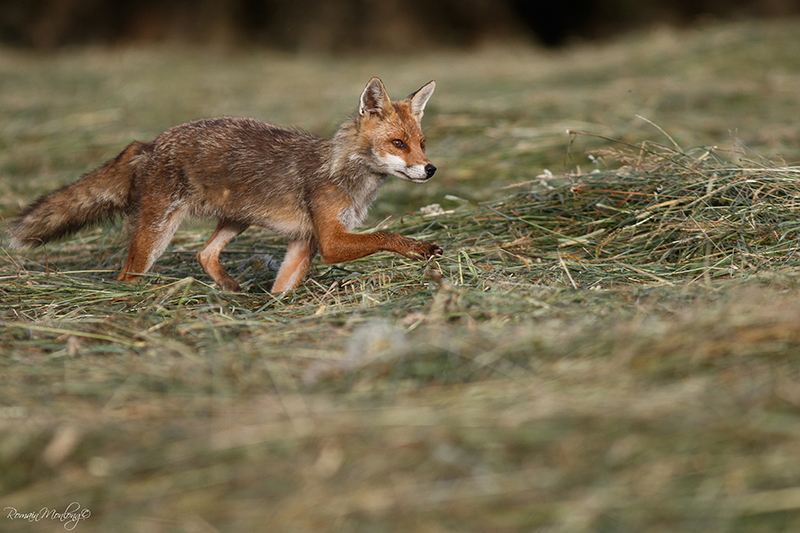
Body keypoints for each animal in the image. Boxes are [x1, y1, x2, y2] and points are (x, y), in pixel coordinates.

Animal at [8, 77, 442, 292]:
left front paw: (273, 310)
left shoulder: (304, 241)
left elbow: (283, 288)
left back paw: (233, 291)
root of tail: (150, 143)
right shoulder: (331, 241)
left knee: (204, 254)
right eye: (398, 144)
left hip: (238, 219)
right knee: (127, 275)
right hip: (156, 236)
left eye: (422, 142)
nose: (430, 169)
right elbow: (385, 236)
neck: (343, 171)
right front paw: (419, 248)